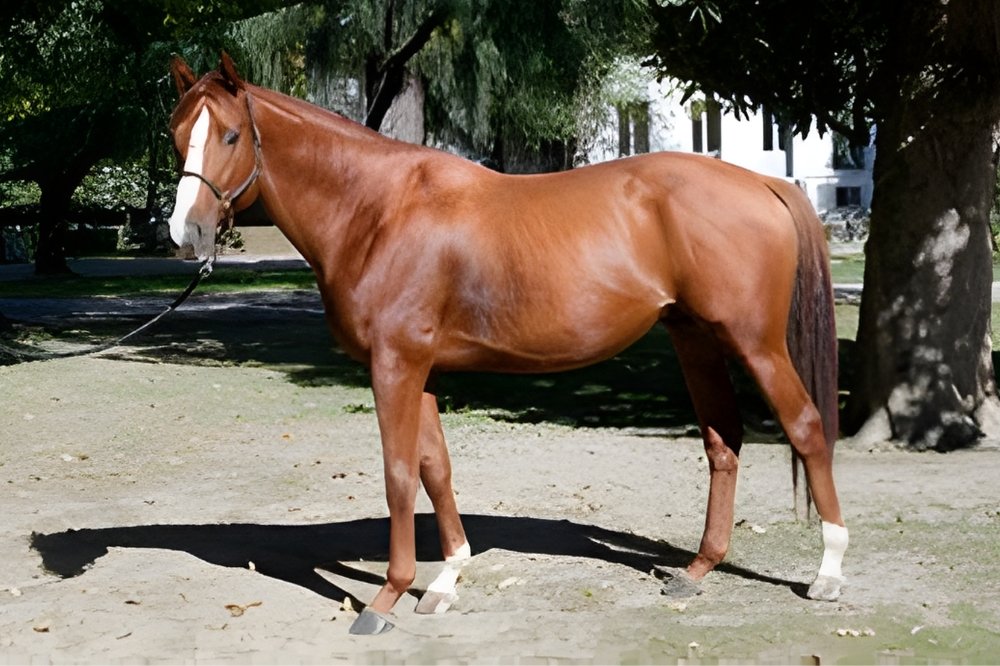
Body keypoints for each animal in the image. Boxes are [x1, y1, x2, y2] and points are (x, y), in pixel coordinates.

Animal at [167, 53, 848, 635]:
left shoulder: (394, 366)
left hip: (757, 344)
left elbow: (398, 475)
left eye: (231, 136)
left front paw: (388, 597)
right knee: (723, 442)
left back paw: (828, 573)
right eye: (177, 136)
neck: (378, 210)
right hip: (695, 339)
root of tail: (759, 183)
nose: (186, 231)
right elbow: (435, 468)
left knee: (807, 427)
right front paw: (446, 581)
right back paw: (697, 570)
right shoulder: (421, 370)